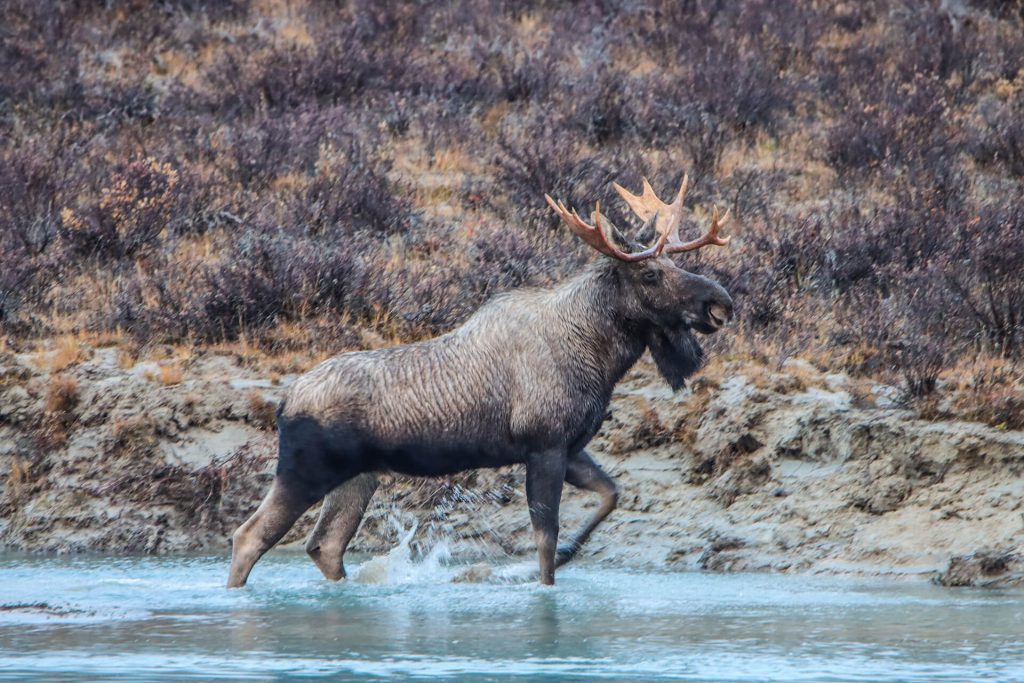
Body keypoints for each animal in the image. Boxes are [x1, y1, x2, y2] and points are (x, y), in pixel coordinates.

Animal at [227, 172, 733, 588]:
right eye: (650, 273)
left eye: (674, 265)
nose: (720, 304)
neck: (599, 355)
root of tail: (284, 403)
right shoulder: (544, 444)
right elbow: (545, 541)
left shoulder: (571, 446)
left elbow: (610, 495)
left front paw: (567, 555)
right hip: (305, 471)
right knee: (249, 536)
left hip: (358, 477)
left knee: (325, 546)